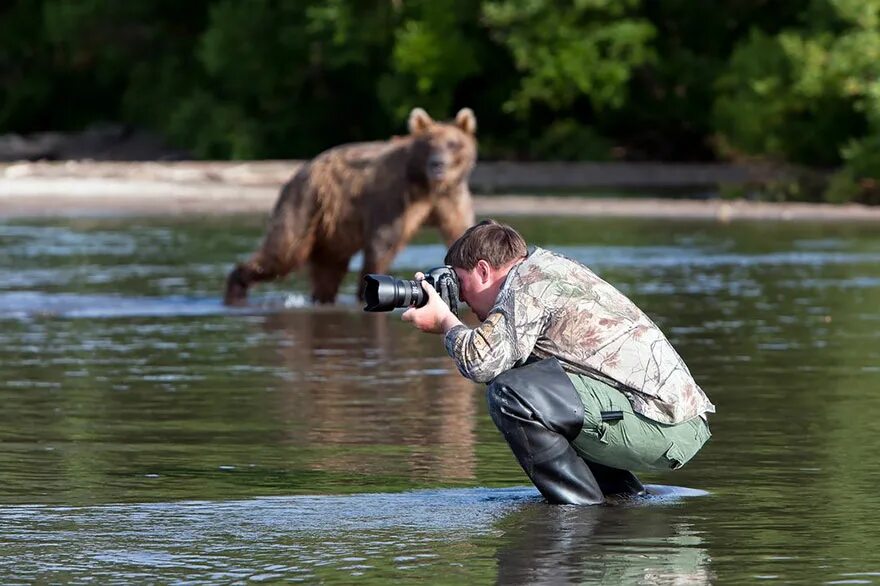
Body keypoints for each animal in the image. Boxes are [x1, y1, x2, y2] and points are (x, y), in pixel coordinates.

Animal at [223, 106, 478, 304]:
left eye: (453, 144)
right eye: (428, 143)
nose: (438, 164)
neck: (427, 186)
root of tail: (299, 171)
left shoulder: (451, 199)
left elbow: (459, 231)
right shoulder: (394, 198)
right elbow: (382, 243)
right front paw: (366, 290)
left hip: (332, 229)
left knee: (328, 270)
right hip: (305, 205)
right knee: (283, 253)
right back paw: (236, 289)